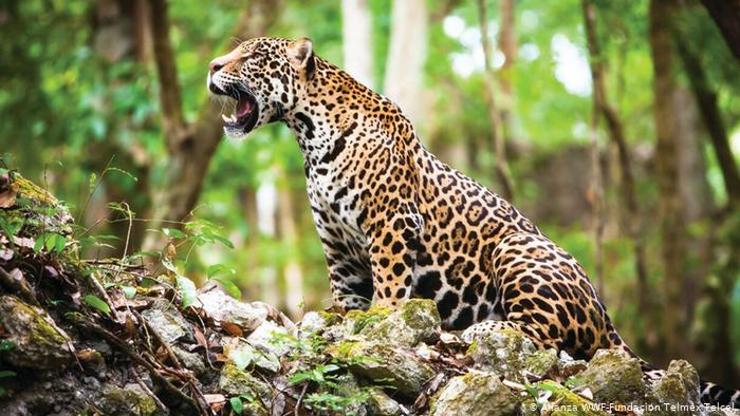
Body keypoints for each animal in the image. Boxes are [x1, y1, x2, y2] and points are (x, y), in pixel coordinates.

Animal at [206, 36, 739, 407]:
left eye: (249, 56)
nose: (213, 66)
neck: (309, 135)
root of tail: (608, 319)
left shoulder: (390, 224)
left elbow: (390, 287)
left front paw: (382, 322)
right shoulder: (337, 245)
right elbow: (345, 295)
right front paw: (342, 319)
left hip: (519, 250)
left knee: (546, 342)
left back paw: (478, 331)